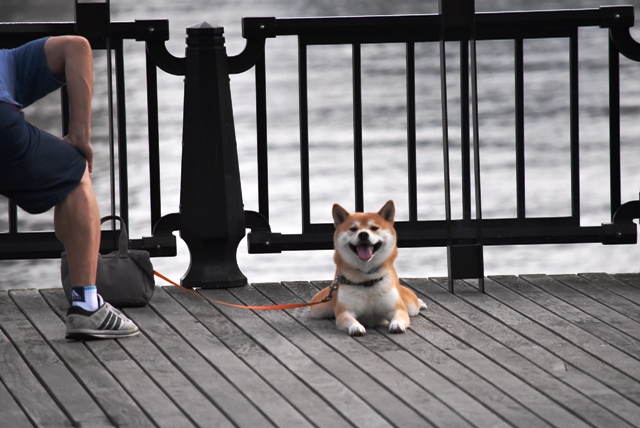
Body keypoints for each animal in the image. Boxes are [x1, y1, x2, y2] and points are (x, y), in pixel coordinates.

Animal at [308, 199, 424, 336]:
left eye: (374, 228)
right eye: (353, 229)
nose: (363, 234)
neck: (367, 279)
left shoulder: (397, 308)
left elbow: (399, 316)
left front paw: (396, 325)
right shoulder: (345, 312)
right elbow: (349, 320)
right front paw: (356, 327)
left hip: (411, 306)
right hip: (317, 309)